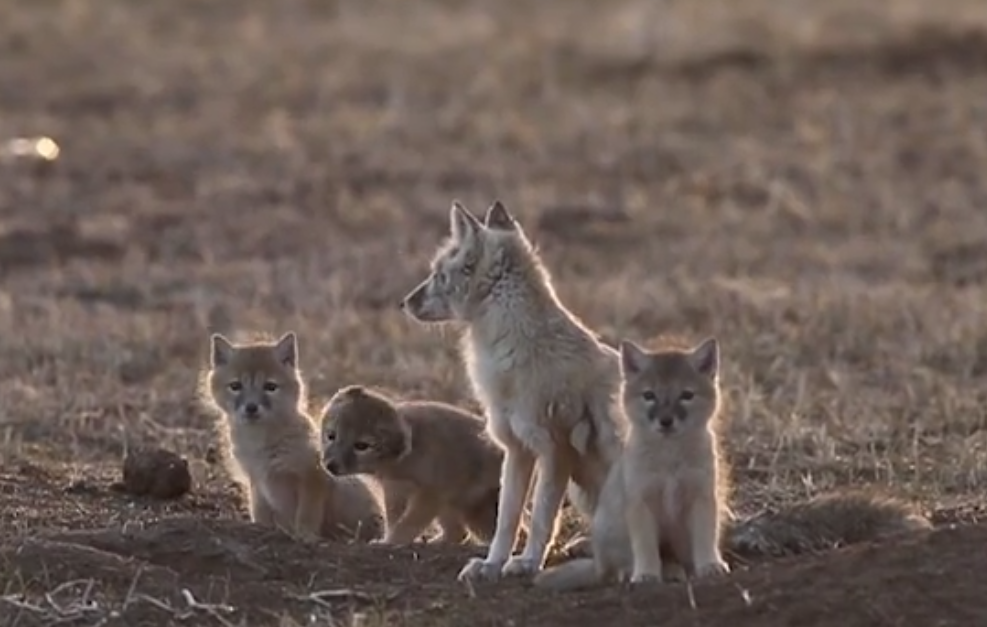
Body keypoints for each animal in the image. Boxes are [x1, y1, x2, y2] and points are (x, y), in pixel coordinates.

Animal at [201, 332, 382, 544]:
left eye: (270, 387)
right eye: (235, 386)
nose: (251, 407)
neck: (259, 444)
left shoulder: (313, 477)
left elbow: (306, 515)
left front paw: (305, 536)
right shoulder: (256, 482)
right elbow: (260, 513)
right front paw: (261, 530)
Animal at [320, 382, 510, 544]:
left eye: (361, 446)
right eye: (331, 436)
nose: (330, 465)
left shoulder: (430, 494)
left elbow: (408, 524)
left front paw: (390, 542)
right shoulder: (395, 490)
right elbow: (395, 520)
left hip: (475, 513)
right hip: (454, 506)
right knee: (457, 534)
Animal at [398, 201, 620, 584]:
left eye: (439, 276)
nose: (404, 302)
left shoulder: (554, 449)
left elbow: (543, 517)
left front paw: (529, 563)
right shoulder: (516, 449)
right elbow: (507, 519)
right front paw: (491, 565)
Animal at [532, 336, 932, 592]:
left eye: (686, 396)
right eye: (649, 396)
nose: (666, 421)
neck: (672, 463)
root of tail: (598, 560)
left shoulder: (701, 500)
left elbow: (704, 545)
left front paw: (711, 568)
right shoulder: (642, 505)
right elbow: (645, 550)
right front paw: (648, 576)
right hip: (614, 535)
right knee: (619, 570)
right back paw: (658, 572)